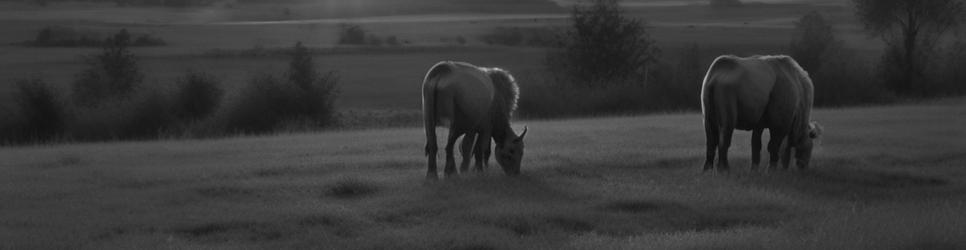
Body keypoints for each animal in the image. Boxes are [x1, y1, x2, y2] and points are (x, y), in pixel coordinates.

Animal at [700, 54, 828, 171]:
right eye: (810, 147)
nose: (804, 167)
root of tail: (715, 75)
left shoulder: (759, 123)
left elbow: (756, 145)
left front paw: (754, 169)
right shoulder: (780, 124)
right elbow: (775, 146)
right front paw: (771, 169)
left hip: (707, 110)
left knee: (710, 141)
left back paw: (707, 169)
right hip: (728, 103)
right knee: (724, 138)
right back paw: (724, 169)